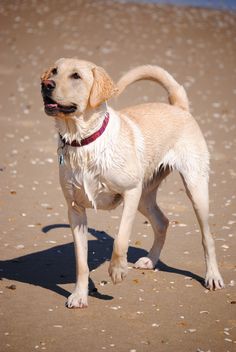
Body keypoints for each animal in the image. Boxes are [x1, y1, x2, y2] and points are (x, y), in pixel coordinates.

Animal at [41, 58, 225, 308]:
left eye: (76, 76)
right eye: (54, 71)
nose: (46, 84)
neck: (84, 141)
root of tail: (179, 107)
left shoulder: (130, 192)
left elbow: (121, 238)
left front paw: (117, 269)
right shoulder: (75, 210)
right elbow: (81, 262)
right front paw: (79, 295)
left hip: (194, 187)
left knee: (207, 237)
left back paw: (212, 276)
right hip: (145, 197)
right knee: (162, 222)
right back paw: (151, 260)